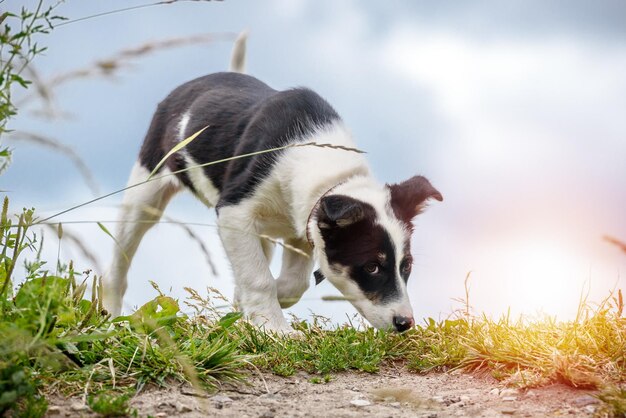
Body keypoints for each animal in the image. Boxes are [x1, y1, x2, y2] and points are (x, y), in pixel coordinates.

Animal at [102, 72, 442, 334]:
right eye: (371, 266)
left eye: (406, 266)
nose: (405, 323)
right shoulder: (234, 212)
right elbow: (259, 279)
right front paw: (274, 328)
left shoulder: (303, 228)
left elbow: (292, 285)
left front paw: (250, 313)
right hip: (146, 191)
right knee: (119, 263)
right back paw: (110, 316)